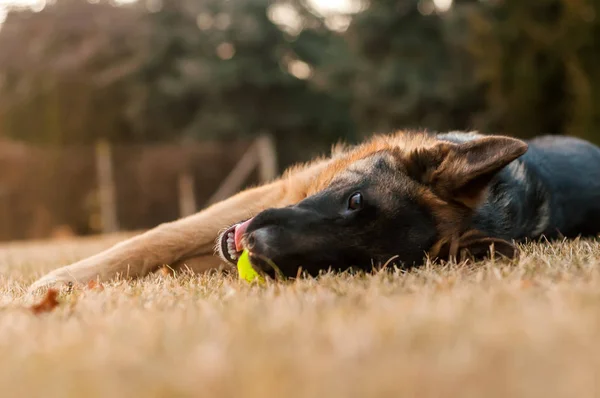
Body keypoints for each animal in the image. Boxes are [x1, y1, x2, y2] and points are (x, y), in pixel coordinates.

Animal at [29, 131, 600, 290]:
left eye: (355, 264)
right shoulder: (261, 197)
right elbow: (156, 238)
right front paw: (62, 279)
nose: (258, 250)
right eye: (353, 201)